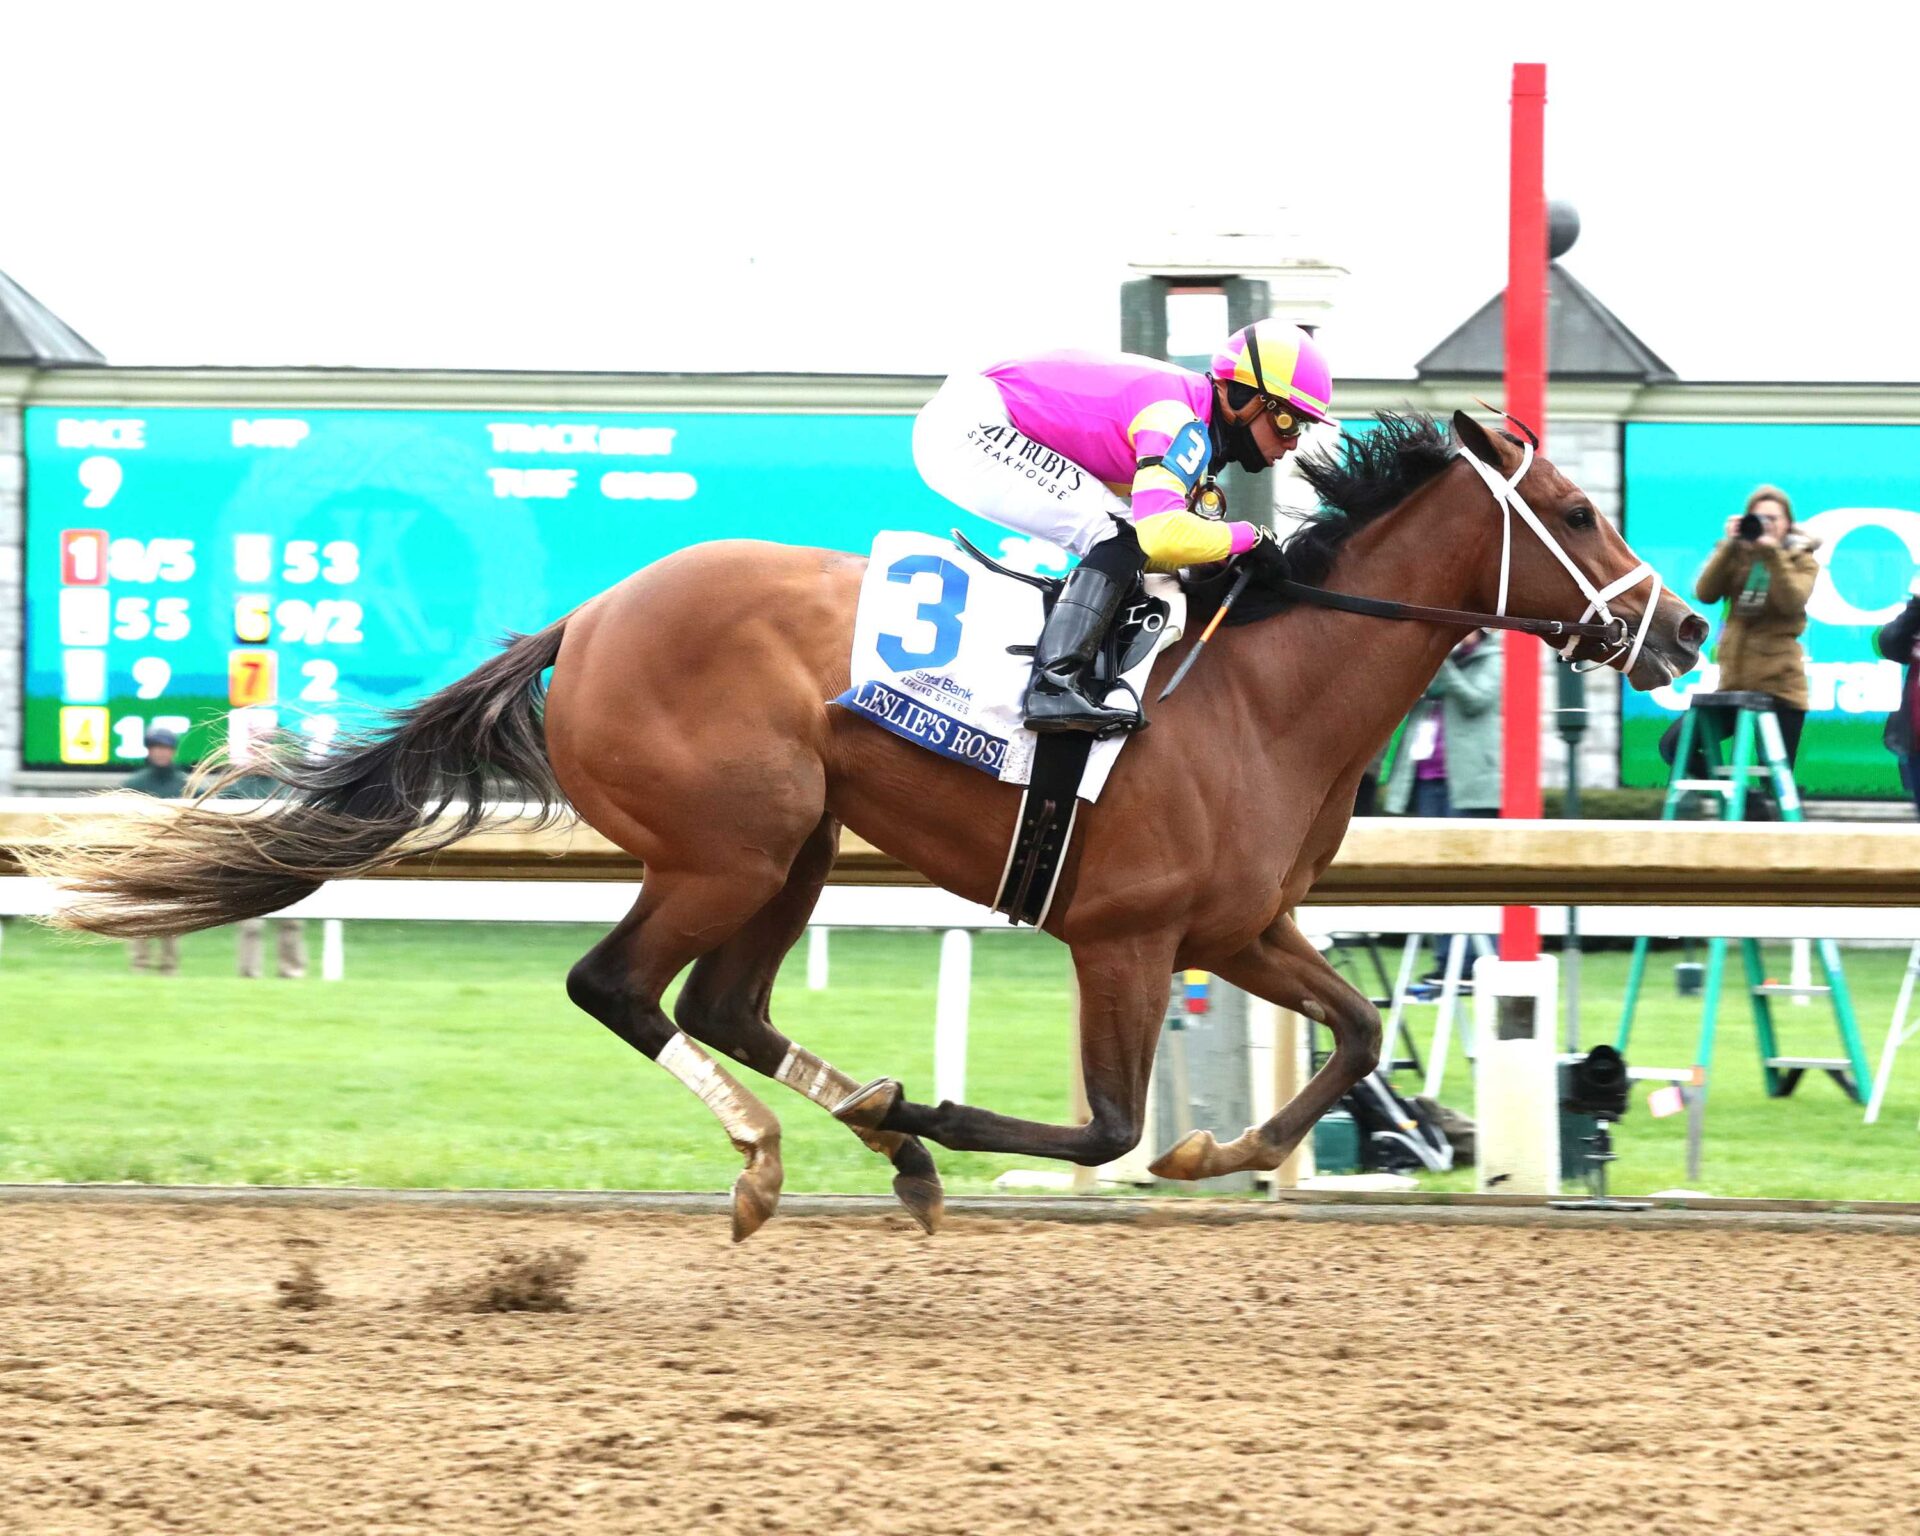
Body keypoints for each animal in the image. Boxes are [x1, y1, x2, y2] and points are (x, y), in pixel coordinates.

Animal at [26, 410, 1707, 1241]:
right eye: (1576, 513)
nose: (1683, 629)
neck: (1260, 691)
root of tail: (588, 614)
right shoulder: (1125, 933)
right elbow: (1103, 1122)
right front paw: (956, 1117)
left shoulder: (1240, 926)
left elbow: (1355, 1036)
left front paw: (1223, 1148)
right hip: (732, 840)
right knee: (618, 987)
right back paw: (787, 1156)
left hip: (801, 845)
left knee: (721, 1003)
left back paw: (873, 1144)